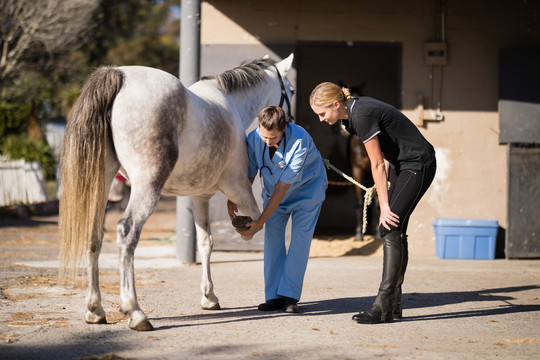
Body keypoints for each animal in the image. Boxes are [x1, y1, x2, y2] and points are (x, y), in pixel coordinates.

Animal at [59, 52, 296, 330]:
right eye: (291, 90)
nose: (290, 123)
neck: (230, 105)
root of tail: (118, 75)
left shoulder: (199, 196)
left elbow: (206, 243)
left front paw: (209, 297)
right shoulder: (239, 190)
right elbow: (262, 226)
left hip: (101, 184)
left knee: (94, 236)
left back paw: (95, 310)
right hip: (147, 186)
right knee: (127, 233)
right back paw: (135, 312)